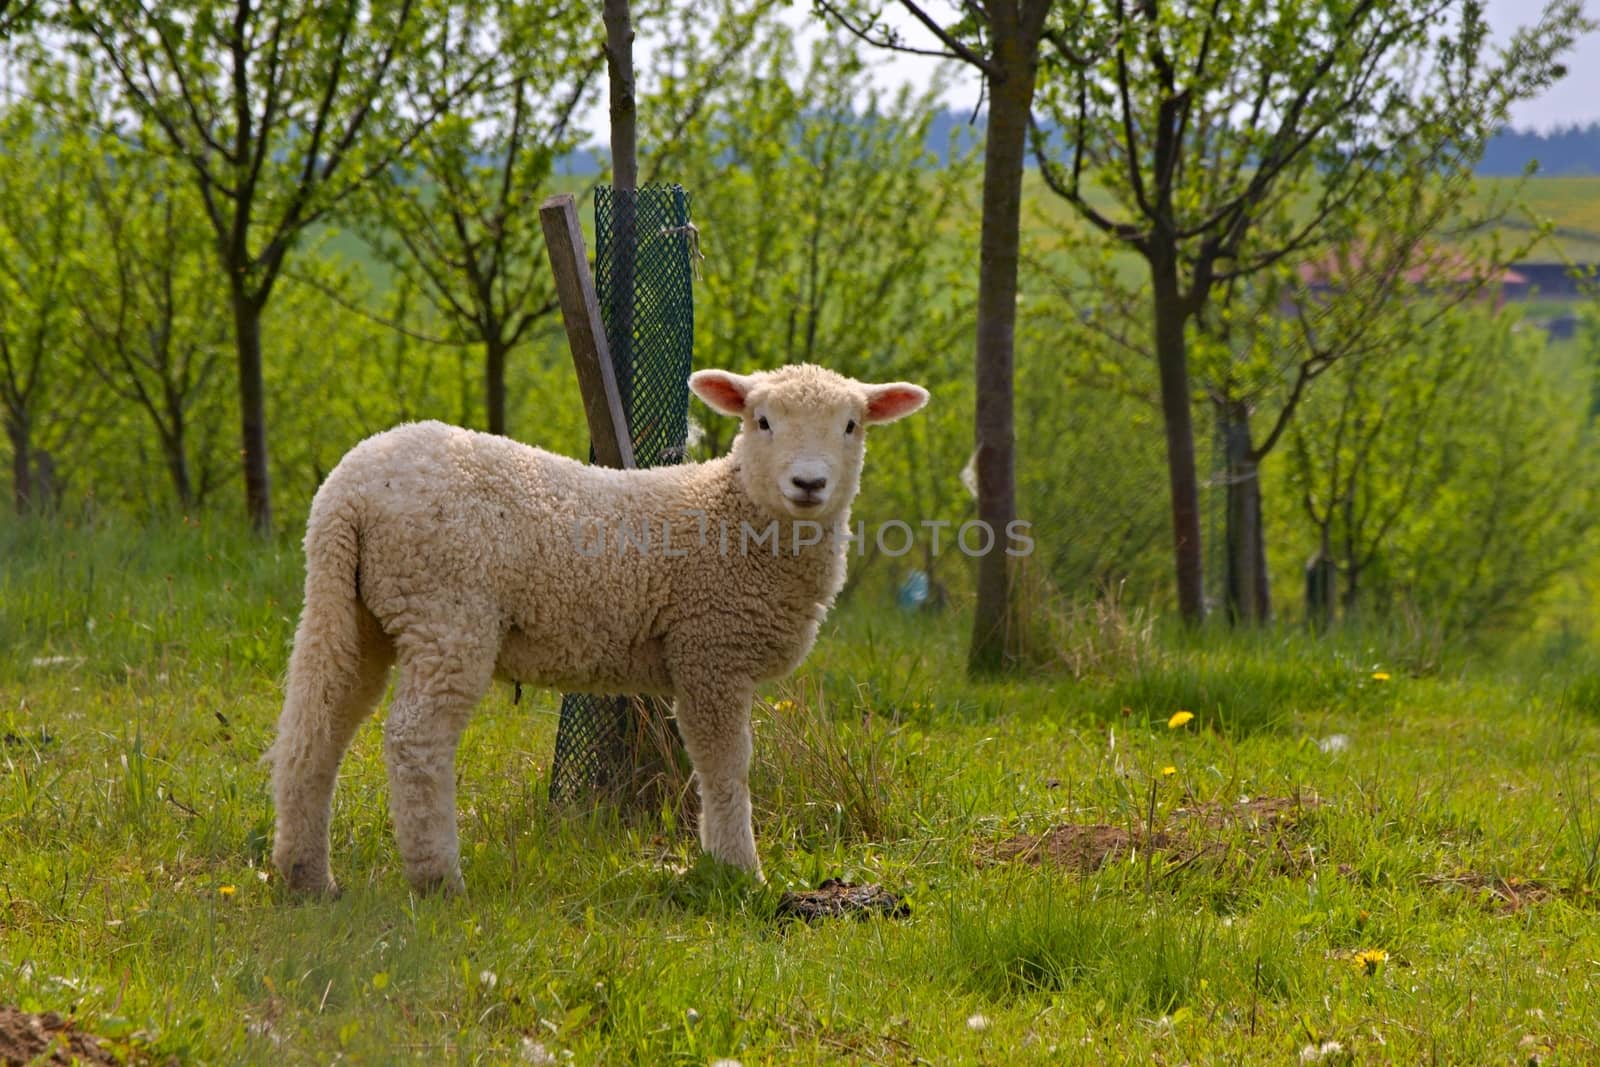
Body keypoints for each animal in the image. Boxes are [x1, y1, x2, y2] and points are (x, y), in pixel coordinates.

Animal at [264, 363, 928, 895]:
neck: (736, 517)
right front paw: (739, 873)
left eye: (852, 426)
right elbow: (725, 764)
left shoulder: (703, 654)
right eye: (761, 421)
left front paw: (720, 865)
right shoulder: (709, 648)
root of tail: (349, 492)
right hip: (447, 608)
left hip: (352, 607)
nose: (810, 484)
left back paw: (307, 879)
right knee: (414, 739)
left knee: (312, 729)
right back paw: (438, 881)